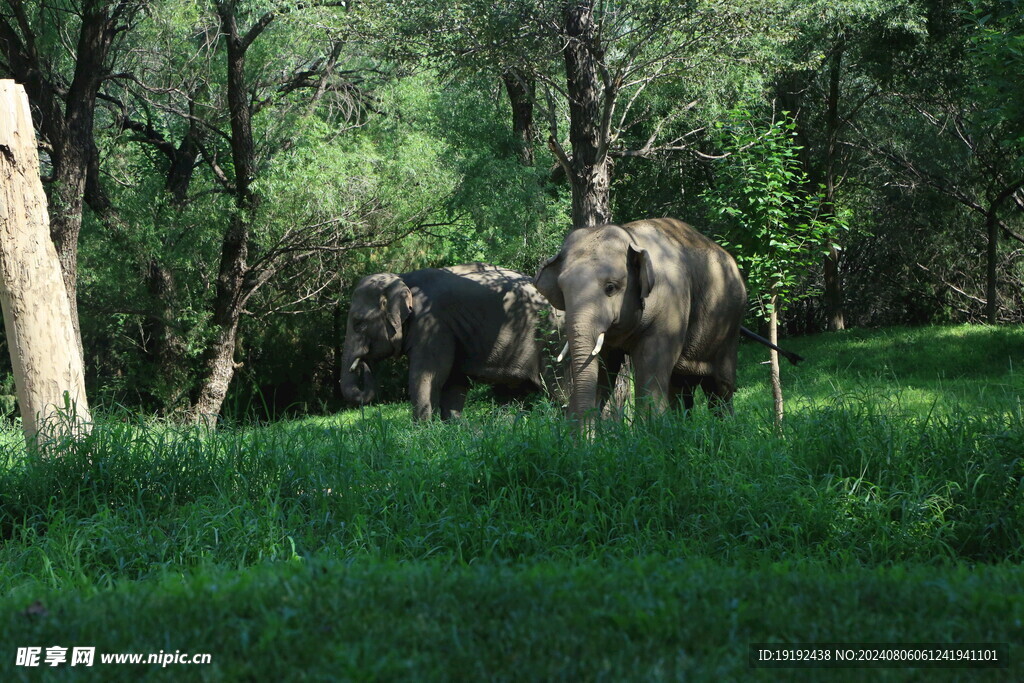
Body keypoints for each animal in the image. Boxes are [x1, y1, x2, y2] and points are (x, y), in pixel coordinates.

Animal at [339, 264, 565, 419]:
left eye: (358, 323)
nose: (362, 364)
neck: (403, 278)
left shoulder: (432, 324)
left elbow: (428, 375)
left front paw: (422, 432)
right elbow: (454, 381)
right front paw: (452, 428)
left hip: (553, 338)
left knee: (560, 387)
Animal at [536, 216, 798, 419]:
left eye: (611, 287)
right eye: (562, 291)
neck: (631, 235)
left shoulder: (671, 303)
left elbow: (651, 364)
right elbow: (603, 367)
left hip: (730, 323)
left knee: (720, 387)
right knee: (680, 387)